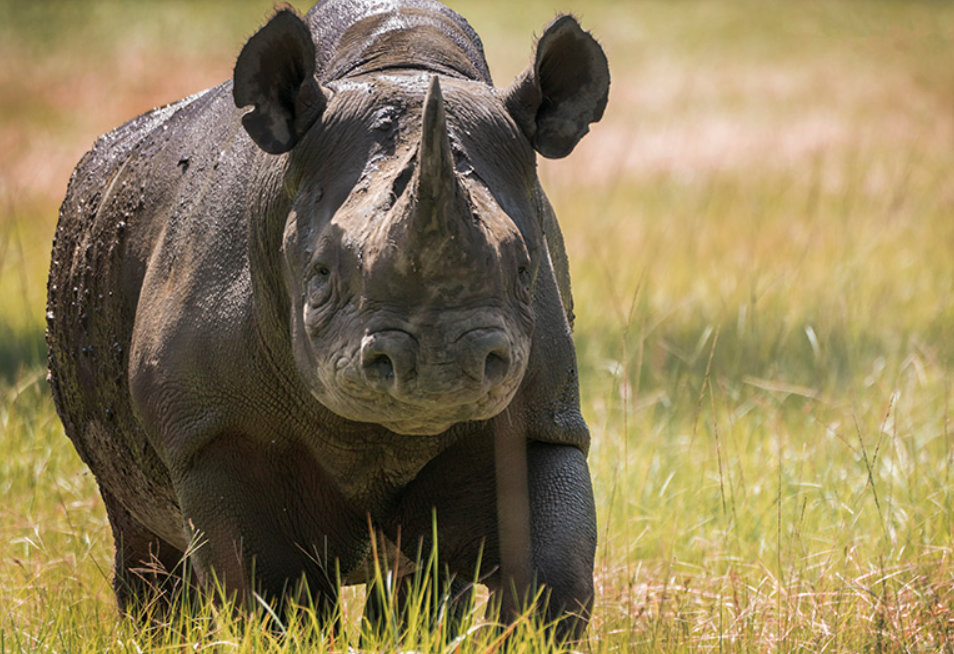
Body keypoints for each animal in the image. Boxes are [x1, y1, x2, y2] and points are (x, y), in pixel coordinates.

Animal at [46, 0, 609, 638]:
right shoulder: (214, 430)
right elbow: (275, 592)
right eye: (318, 275)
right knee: (141, 535)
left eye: (523, 269)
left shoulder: (540, 419)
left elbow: (549, 573)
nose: (442, 369)